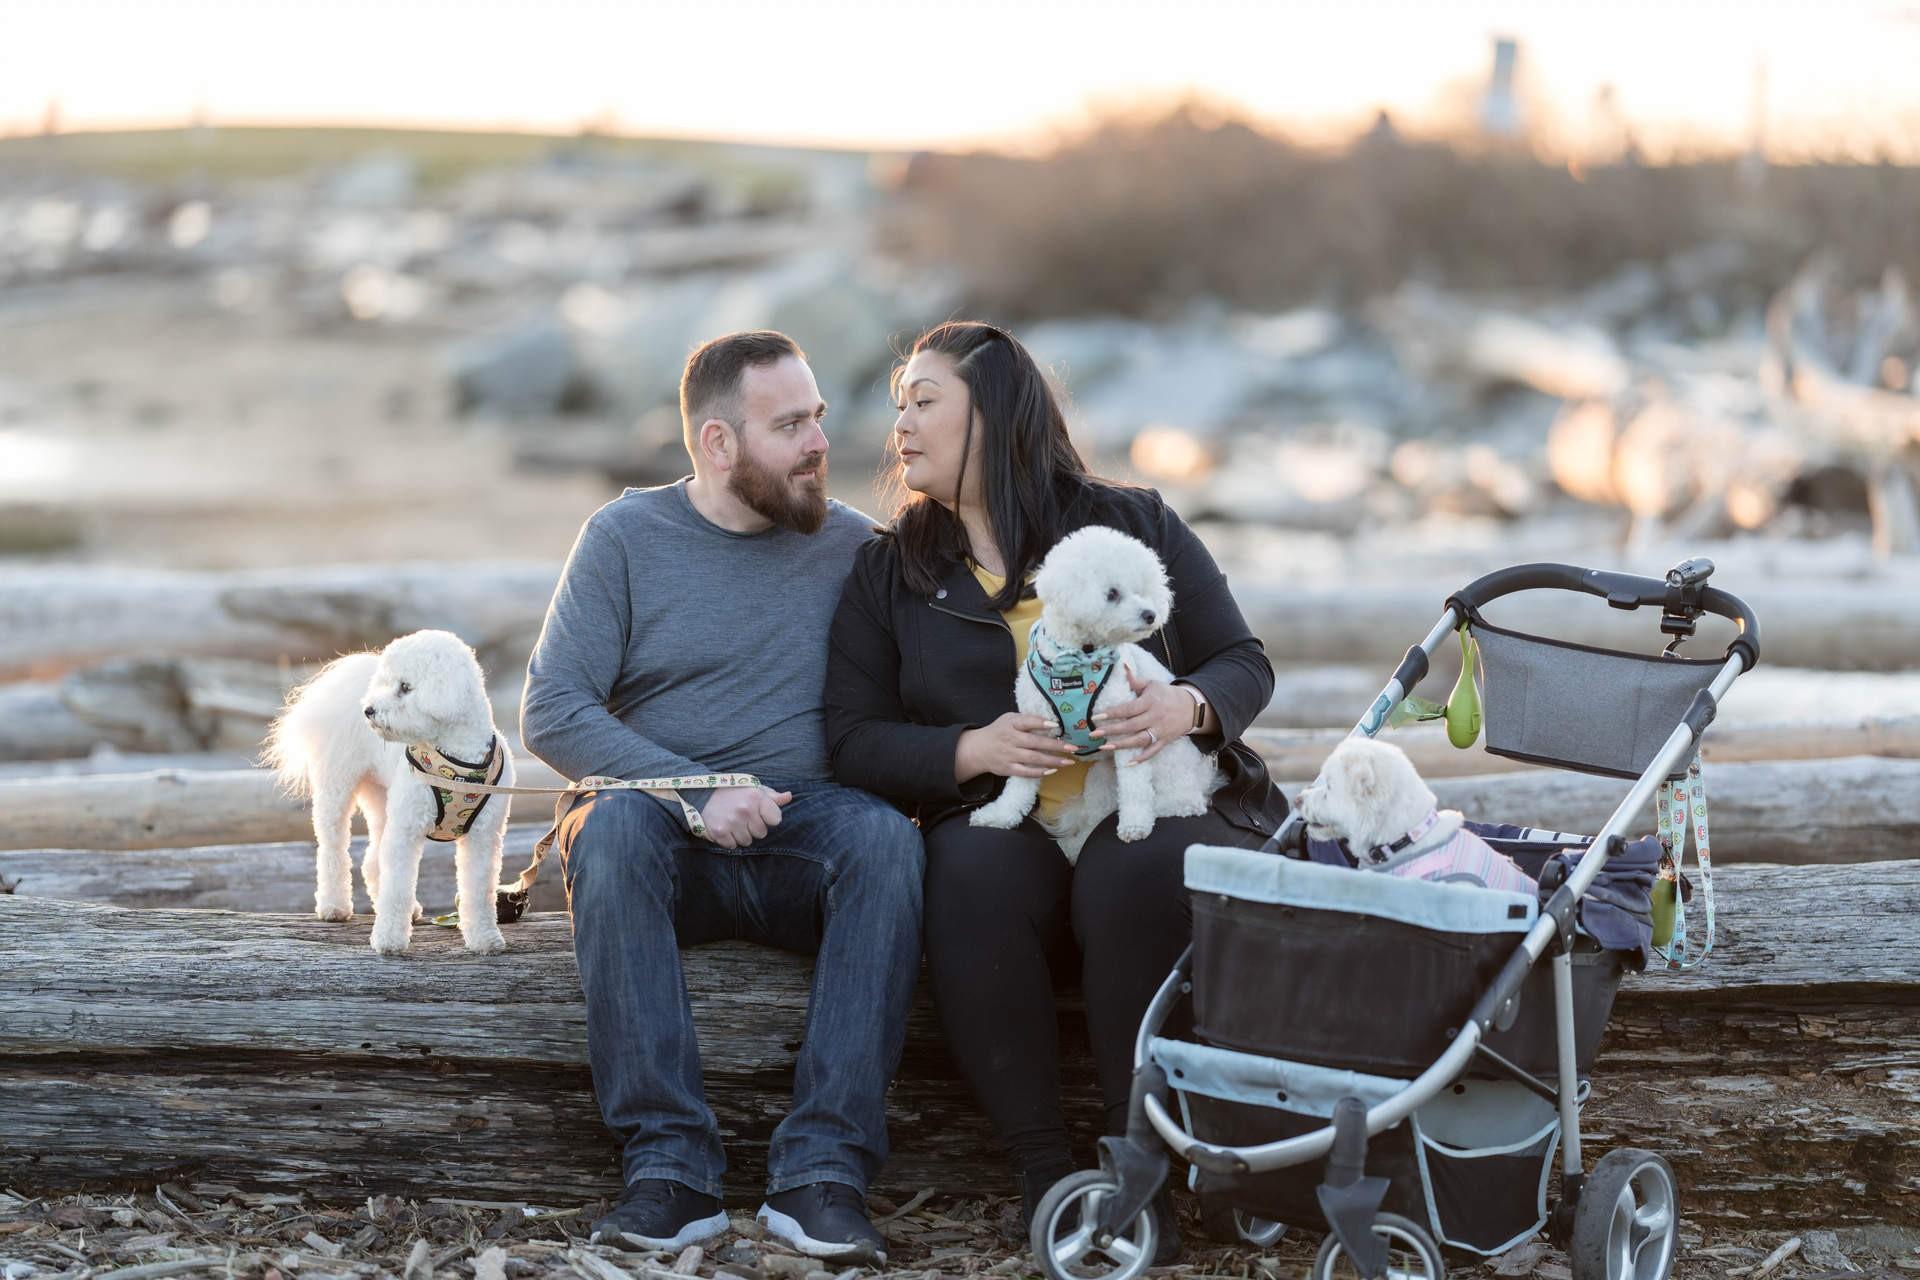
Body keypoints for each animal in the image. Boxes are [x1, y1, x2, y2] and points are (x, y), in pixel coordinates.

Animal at [266, 629, 518, 951]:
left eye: (405, 687)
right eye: (389, 683)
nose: (368, 710)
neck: (457, 762)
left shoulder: (483, 837)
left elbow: (478, 890)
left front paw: (485, 939)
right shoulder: (407, 829)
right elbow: (397, 887)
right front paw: (388, 939)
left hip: (383, 798)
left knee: (373, 861)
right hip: (336, 788)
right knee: (333, 848)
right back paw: (334, 906)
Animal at [967, 525, 1221, 867]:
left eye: (1142, 590)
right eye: (1112, 593)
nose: (1150, 614)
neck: (1077, 659)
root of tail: (1205, 776)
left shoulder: (1128, 734)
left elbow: (1136, 789)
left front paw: (1135, 825)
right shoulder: (1034, 734)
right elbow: (1019, 784)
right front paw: (998, 816)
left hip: (1166, 760)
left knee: (1184, 802)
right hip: (1101, 778)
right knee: (1096, 815)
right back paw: (1075, 846)